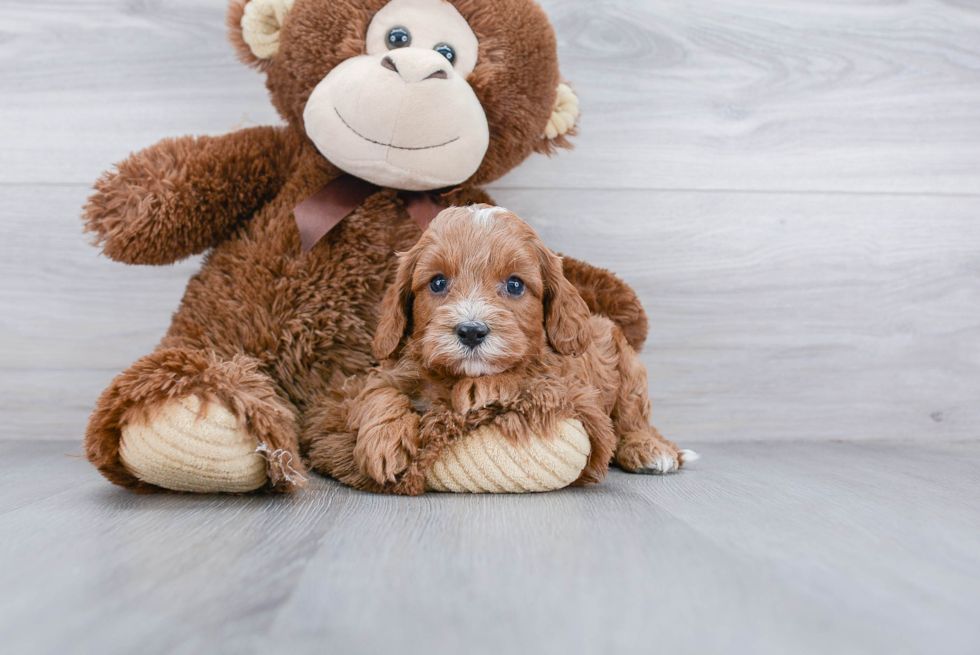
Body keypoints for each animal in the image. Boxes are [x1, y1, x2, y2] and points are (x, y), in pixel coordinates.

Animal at [306, 205, 696, 492]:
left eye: (515, 284)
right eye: (437, 282)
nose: (471, 332)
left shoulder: (563, 379)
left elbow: (520, 374)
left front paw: (481, 389)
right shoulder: (384, 373)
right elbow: (380, 394)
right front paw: (383, 444)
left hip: (628, 367)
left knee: (633, 418)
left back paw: (651, 449)